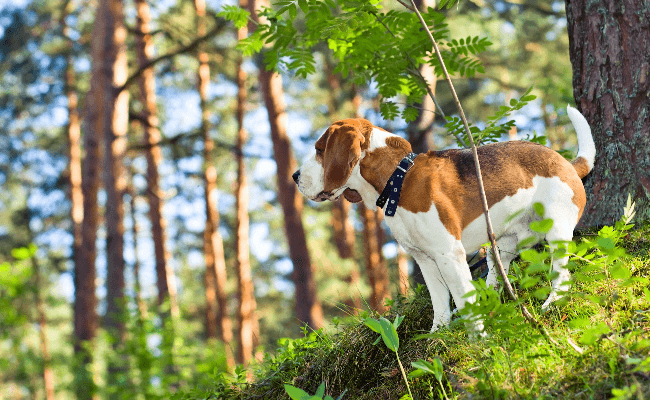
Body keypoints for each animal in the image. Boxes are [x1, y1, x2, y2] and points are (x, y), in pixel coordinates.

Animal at [294, 105, 592, 332]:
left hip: (556, 233)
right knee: (497, 274)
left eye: (320, 149)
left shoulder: (449, 254)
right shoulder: (425, 260)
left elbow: (462, 300)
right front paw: (439, 334)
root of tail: (567, 163)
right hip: (503, 245)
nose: (295, 176)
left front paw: (478, 340)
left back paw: (551, 304)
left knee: (562, 275)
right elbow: (440, 303)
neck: (398, 180)